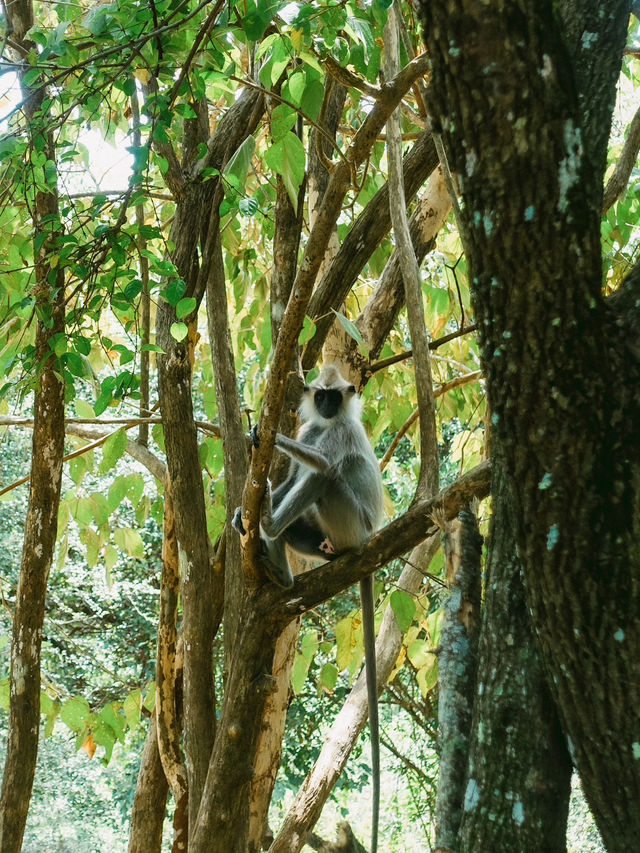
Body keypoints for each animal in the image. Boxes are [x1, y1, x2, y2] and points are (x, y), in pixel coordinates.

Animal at [232, 362, 382, 848]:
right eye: (321, 397)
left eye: (336, 397)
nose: (328, 406)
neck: (332, 423)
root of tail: (369, 538)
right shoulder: (313, 427)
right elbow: (296, 468)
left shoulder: (340, 433)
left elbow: (323, 463)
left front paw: (270, 435)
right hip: (325, 539)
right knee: (304, 490)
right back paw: (276, 558)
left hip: (350, 522)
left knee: (326, 474)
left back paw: (268, 525)